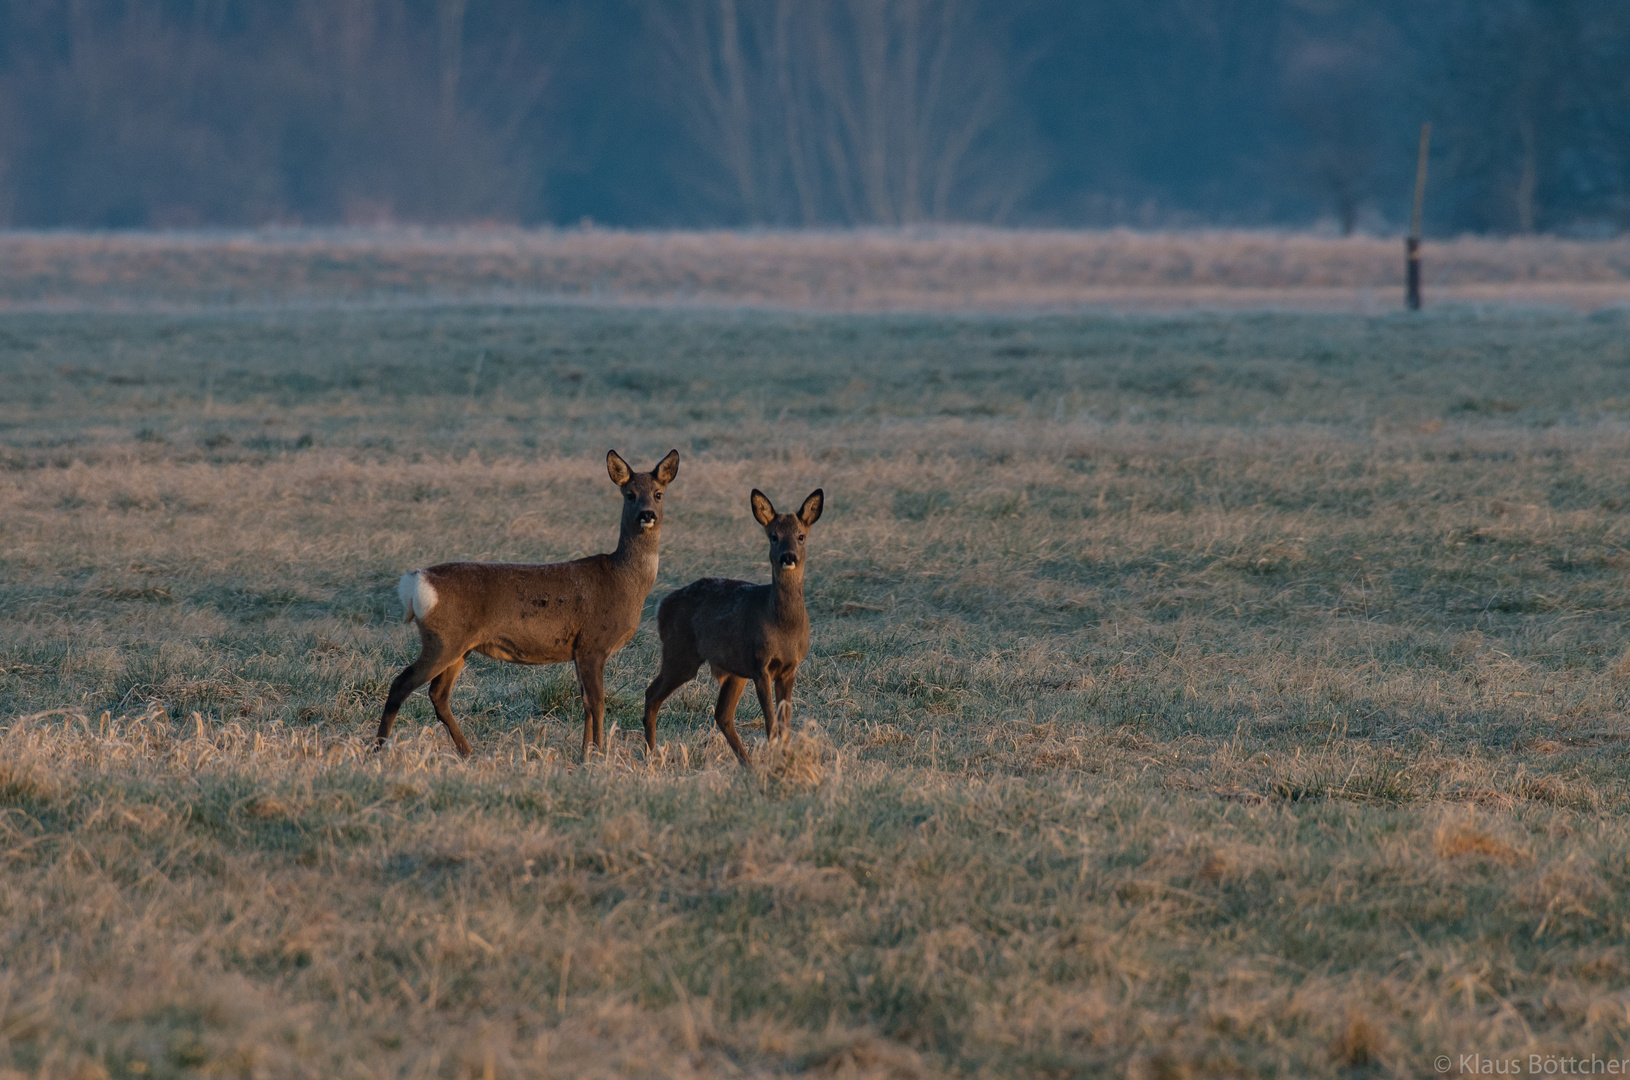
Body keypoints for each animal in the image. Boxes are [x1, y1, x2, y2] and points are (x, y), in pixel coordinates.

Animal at [376, 446, 681, 759]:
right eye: (630, 494)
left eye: (659, 493)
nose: (647, 514)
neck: (623, 580)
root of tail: (416, 582)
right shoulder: (593, 643)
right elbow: (598, 703)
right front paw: (599, 754)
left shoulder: (579, 649)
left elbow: (585, 703)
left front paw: (584, 755)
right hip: (443, 640)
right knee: (401, 684)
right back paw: (379, 748)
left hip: (459, 646)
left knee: (438, 695)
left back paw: (469, 752)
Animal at [642, 485, 828, 765]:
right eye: (774, 536)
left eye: (801, 536)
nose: (788, 557)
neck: (783, 626)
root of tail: (661, 605)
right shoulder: (760, 664)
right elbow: (771, 722)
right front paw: (775, 760)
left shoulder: (789, 667)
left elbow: (785, 724)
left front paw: (783, 759)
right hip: (680, 653)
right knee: (652, 695)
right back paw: (653, 755)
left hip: (733, 670)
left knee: (722, 714)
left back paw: (747, 764)